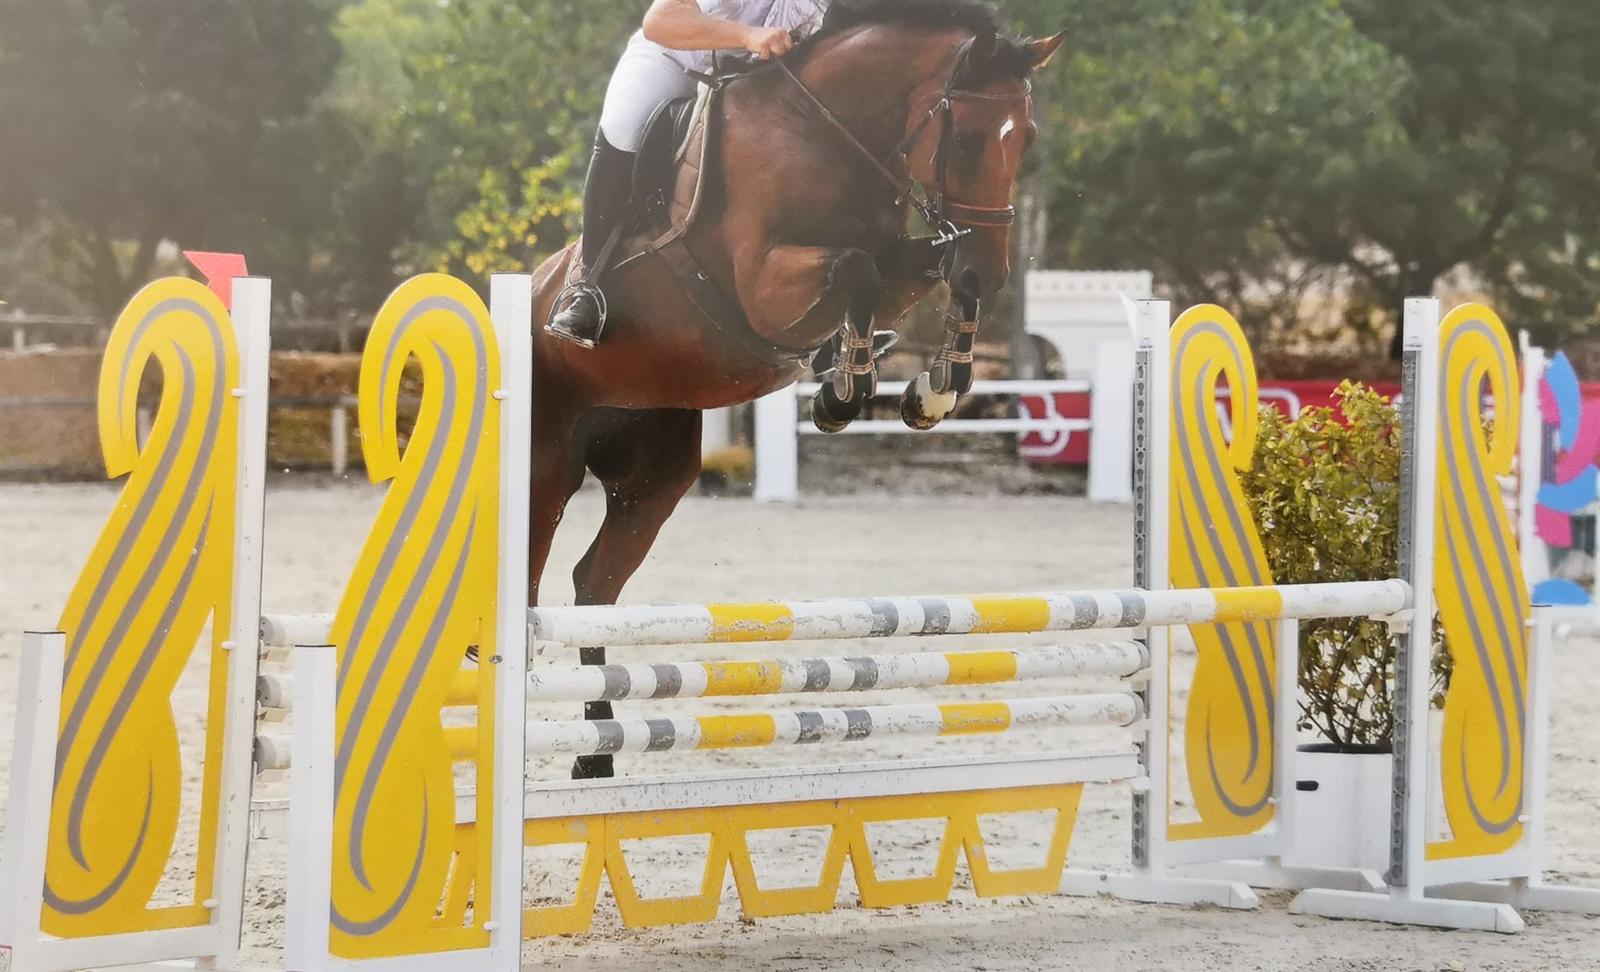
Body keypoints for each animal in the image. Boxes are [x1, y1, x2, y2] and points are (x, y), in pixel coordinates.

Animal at [526, 0, 1065, 777]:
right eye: (963, 140)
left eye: (1025, 139)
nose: (993, 271)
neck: (830, 133)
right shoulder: (763, 284)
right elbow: (857, 271)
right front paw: (843, 393)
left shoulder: (900, 258)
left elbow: (922, 269)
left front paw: (927, 391)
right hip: (545, 467)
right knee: (529, 581)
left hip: (653, 470)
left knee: (593, 585)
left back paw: (597, 751)